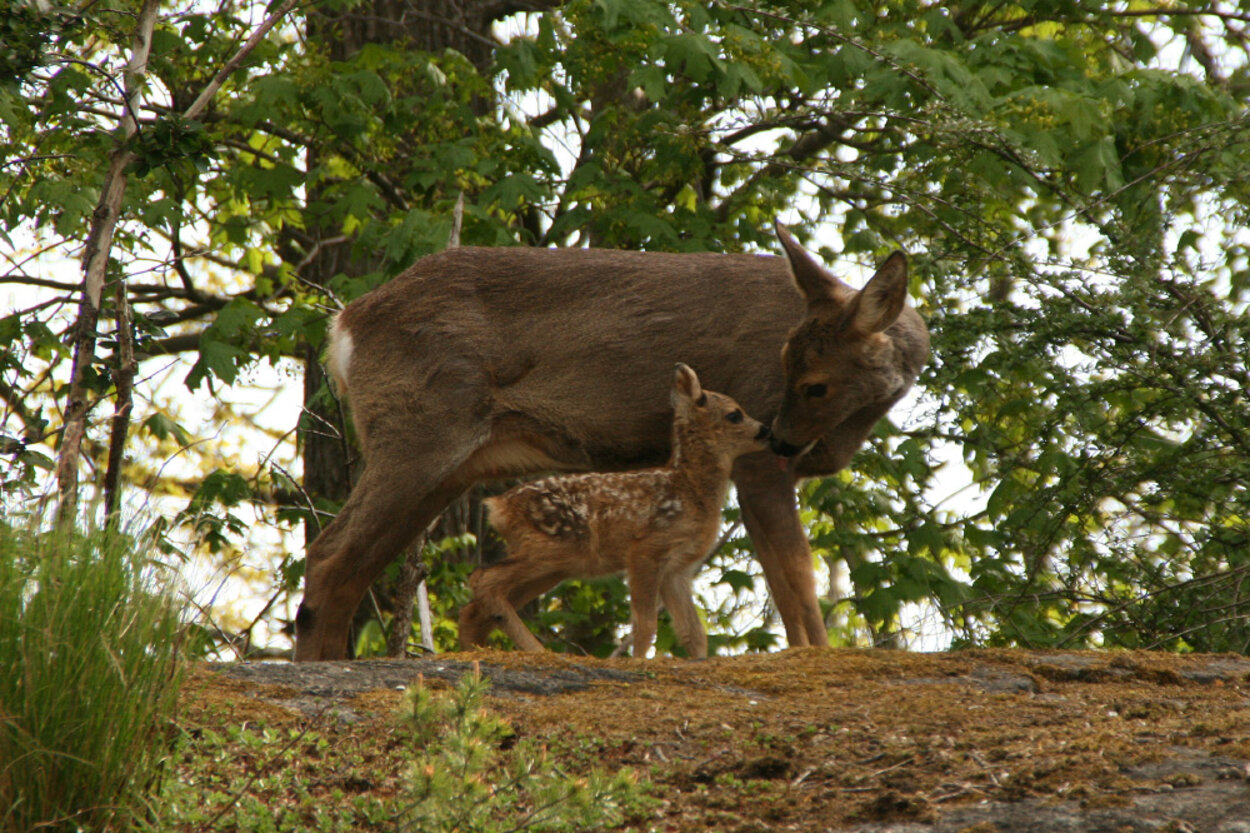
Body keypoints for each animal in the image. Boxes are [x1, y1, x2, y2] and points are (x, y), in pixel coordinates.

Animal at [460, 362, 770, 655]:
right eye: (735, 414)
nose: (766, 431)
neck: (690, 489)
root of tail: (498, 506)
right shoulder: (645, 549)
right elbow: (645, 624)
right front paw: (638, 660)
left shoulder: (677, 568)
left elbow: (693, 633)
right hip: (559, 544)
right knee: (482, 578)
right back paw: (535, 650)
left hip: (555, 563)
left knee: (476, 607)